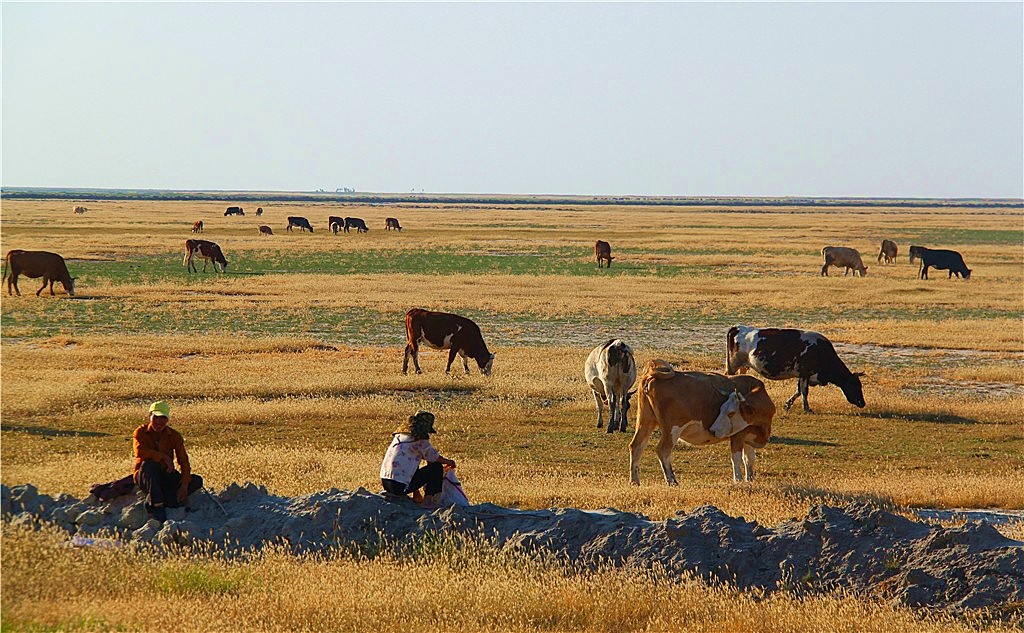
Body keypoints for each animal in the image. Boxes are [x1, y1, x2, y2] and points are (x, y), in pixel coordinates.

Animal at [626, 360, 778, 483]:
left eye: (730, 412)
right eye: (724, 410)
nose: (712, 430)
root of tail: (651, 376)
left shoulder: (748, 435)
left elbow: (749, 458)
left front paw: (750, 479)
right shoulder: (738, 435)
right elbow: (737, 458)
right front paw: (739, 480)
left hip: (645, 421)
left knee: (636, 446)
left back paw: (635, 481)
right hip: (672, 428)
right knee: (663, 450)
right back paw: (671, 480)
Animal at [724, 323, 868, 411]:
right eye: (855, 385)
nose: (862, 403)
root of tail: (738, 327)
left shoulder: (803, 375)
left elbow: (798, 390)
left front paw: (787, 404)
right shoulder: (805, 372)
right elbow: (804, 391)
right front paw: (807, 408)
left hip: (743, 366)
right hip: (733, 364)